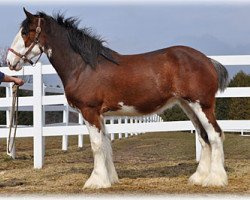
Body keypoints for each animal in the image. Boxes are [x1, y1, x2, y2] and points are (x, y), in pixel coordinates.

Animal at [6, 8, 229, 189]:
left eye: (25, 32)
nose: (9, 61)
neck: (83, 67)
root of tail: (207, 60)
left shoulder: (90, 111)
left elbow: (97, 145)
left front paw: (95, 181)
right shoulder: (100, 115)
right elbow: (106, 144)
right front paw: (109, 179)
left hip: (201, 105)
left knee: (215, 134)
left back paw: (215, 179)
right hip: (188, 106)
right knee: (203, 137)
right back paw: (199, 178)